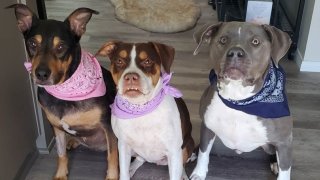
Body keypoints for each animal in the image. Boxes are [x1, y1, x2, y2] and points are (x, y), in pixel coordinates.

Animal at [8, 3, 119, 179]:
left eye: (61, 47)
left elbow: (112, 155)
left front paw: (113, 176)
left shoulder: (109, 126)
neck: (64, 92)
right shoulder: (57, 128)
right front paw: (60, 174)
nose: (41, 74)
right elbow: (61, 154)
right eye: (32, 44)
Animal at [95, 41, 195, 179]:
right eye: (119, 61)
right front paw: (126, 172)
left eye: (147, 61)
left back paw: (183, 175)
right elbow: (124, 173)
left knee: (183, 164)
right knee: (140, 159)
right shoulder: (123, 145)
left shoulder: (174, 151)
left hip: (186, 147)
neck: (140, 108)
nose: (131, 77)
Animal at [190, 21, 292, 180]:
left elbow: (285, 171)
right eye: (223, 40)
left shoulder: (284, 141)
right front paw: (199, 173)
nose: (235, 53)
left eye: (255, 41)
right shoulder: (207, 126)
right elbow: (204, 152)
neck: (237, 97)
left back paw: (275, 163)